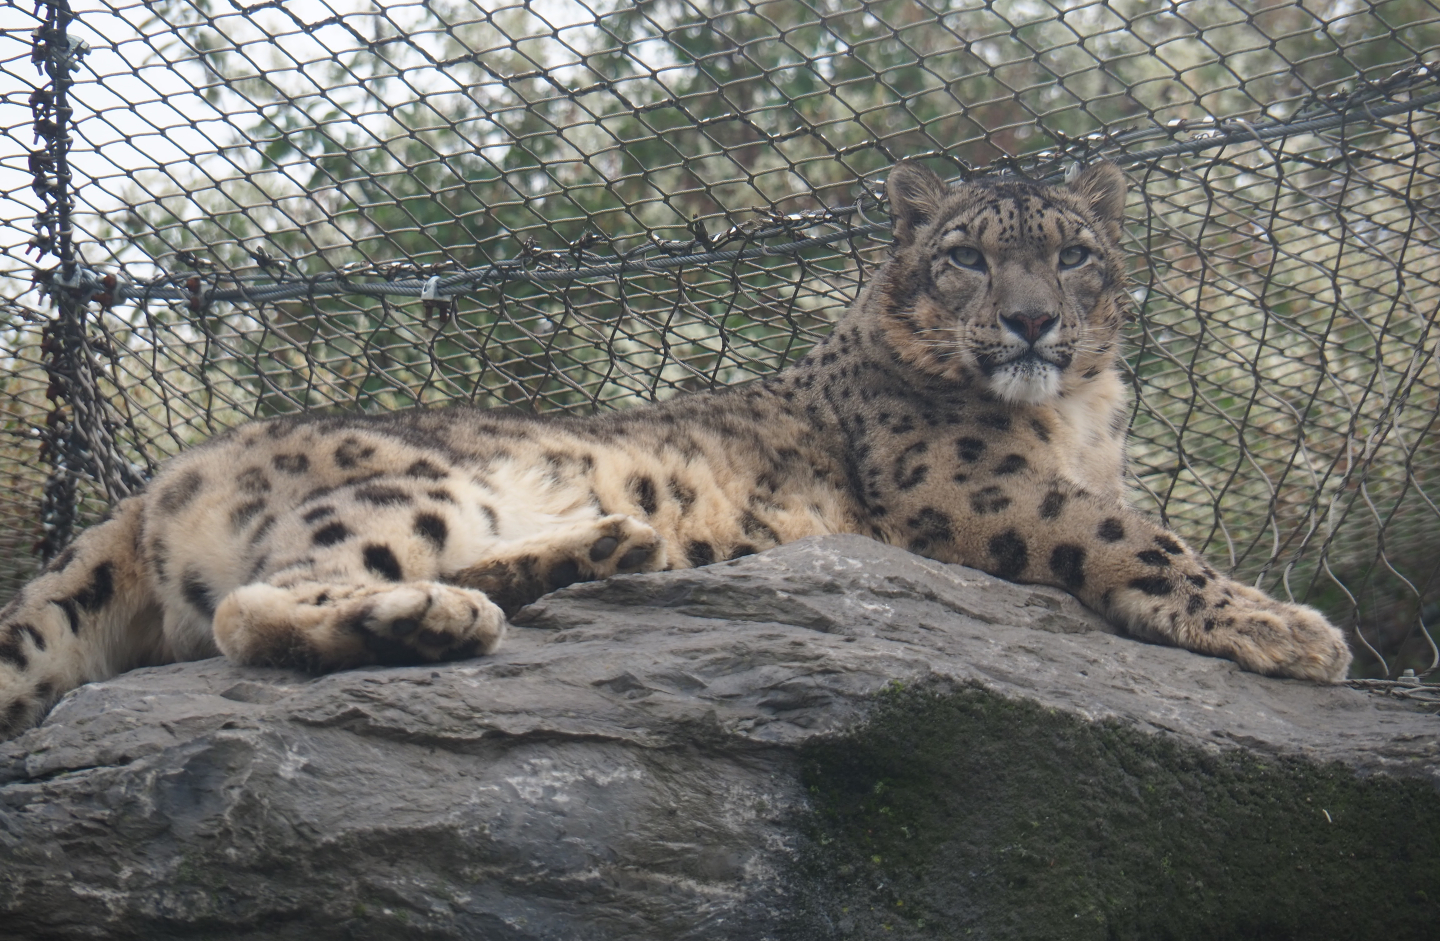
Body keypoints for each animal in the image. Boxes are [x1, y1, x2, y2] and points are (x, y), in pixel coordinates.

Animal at [0, 161, 1353, 740]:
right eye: (967, 255)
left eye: (1074, 252)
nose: (1029, 321)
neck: (1078, 412)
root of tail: (155, 484)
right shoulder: (977, 480)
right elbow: (1137, 536)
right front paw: (1290, 627)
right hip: (398, 489)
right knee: (259, 608)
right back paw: (446, 615)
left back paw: (600, 548)